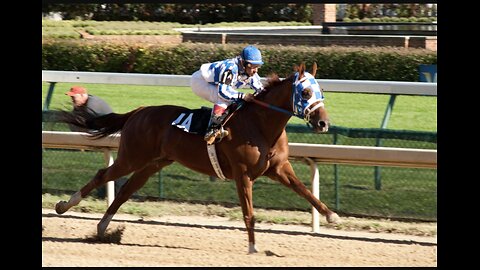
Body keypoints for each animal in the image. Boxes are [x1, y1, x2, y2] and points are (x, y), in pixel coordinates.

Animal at [56, 62, 340, 253]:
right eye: (305, 93)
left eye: (322, 92)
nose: (323, 123)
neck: (260, 125)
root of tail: (139, 111)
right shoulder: (242, 173)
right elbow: (249, 213)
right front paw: (252, 248)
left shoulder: (279, 167)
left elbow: (305, 191)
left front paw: (331, 216)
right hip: (133, 157)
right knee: (103, 175)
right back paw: (65, 206)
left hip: (152, 163)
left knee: (126, 190)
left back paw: (103, 228)